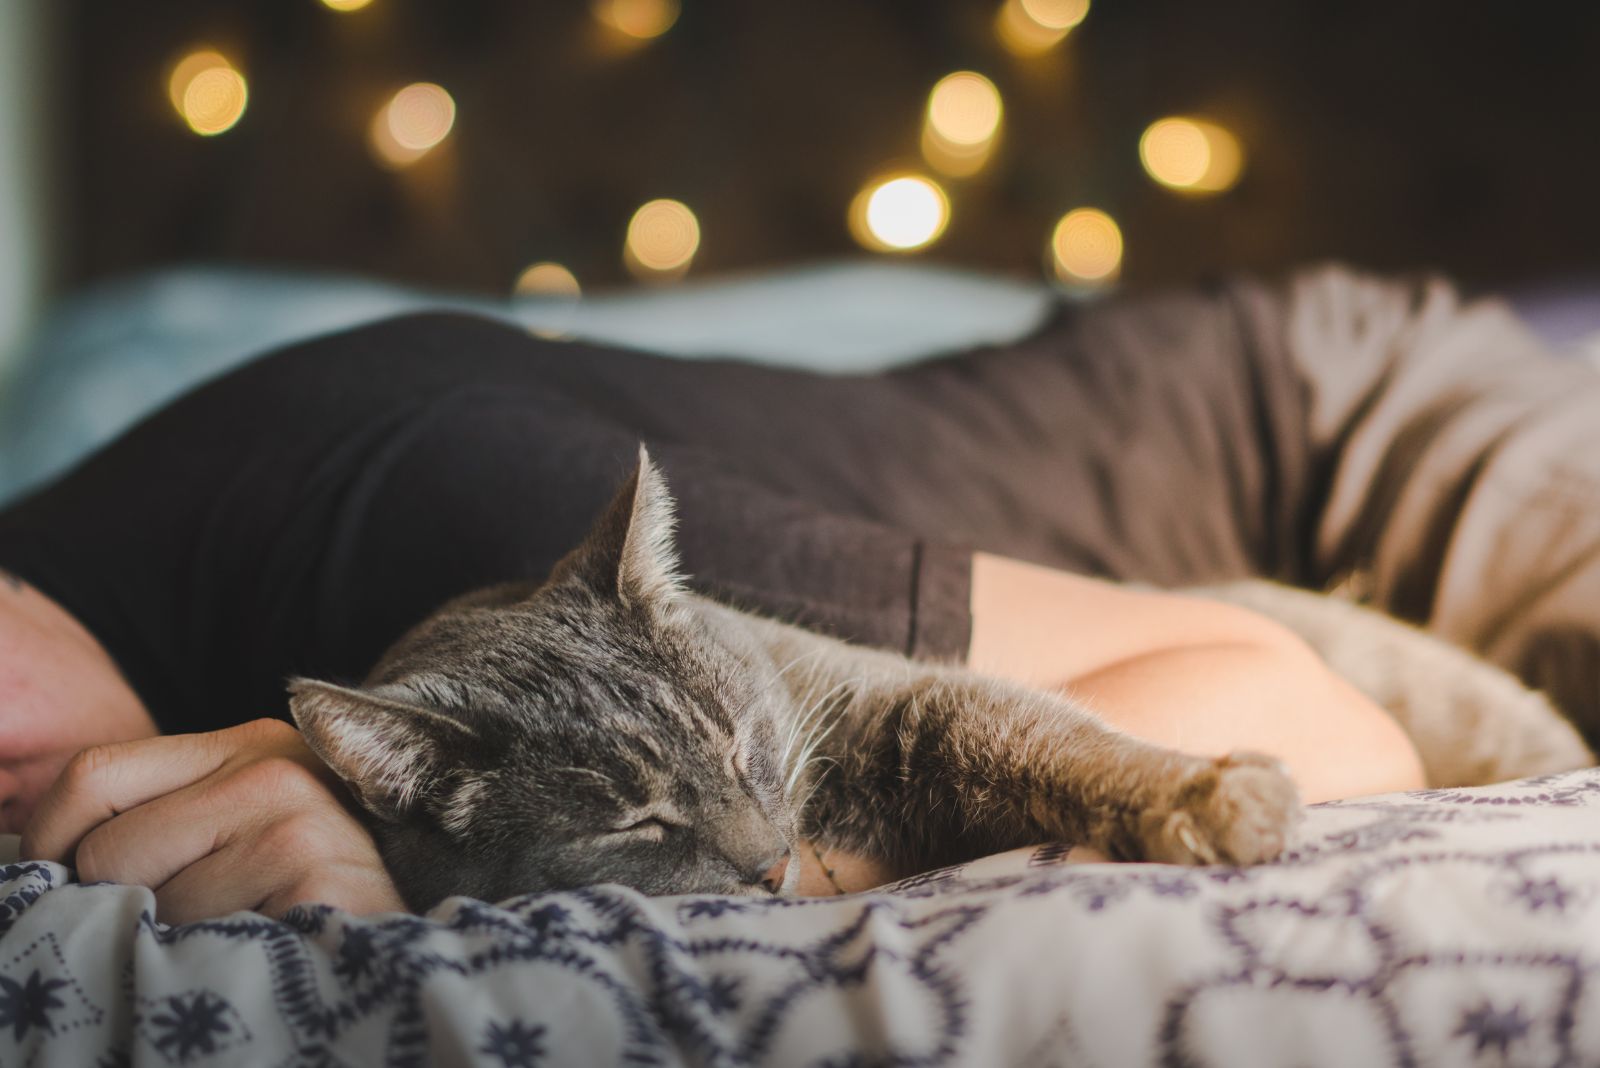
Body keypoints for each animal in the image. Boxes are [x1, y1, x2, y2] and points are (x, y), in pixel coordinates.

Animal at [294, 447, 1593, 908]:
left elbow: (1066, 744)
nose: (765, 859)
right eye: (635, 823)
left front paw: (1205, 797)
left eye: (738, 743)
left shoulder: (905, 698)